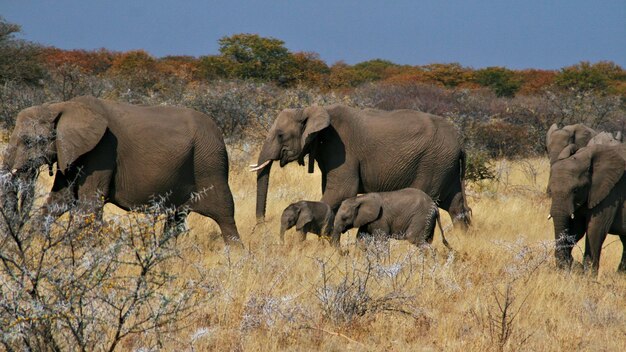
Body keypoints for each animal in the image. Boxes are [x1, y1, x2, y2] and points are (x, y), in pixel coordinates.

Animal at [1, 96, 241, 245]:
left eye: (29, 141)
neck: (60, 106)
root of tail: (218, 132)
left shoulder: (102, 151)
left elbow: (89, 204)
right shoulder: (71, 153)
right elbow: (61, 200)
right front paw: (35, 243)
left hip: (209, 162)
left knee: (224, 214)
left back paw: (236, 257)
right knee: (176, 218)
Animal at [251, 104, 470, 228]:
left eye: (280, 135)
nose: (262, 226)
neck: (311, 110)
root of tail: (461, 144)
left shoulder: (341, 148)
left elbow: (341, 192)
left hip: (433, 163)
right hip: (445, 166)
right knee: (456, 207)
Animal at [544, 143, 624, 272]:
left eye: (575, 190)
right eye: (550, 191)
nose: (573, 261)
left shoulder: (612, 192)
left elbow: (596, 229)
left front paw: (589, 275)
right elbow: (577, 229)